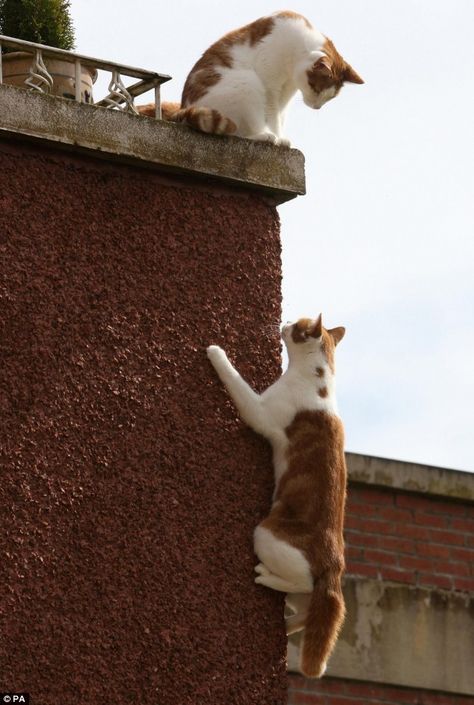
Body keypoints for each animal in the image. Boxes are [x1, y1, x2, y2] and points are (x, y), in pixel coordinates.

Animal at [140, 11, 362, 146]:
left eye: (329, 98)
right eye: (315, 87)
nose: (317, 107)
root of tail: (184, 110)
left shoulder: (284, 94)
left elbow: (280, 116)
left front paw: (281, 136)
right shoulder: (270, 86)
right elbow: (272, 115)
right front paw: (278, 137)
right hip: (246, 82)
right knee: (236, 133)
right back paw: (263, 135)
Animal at [207, 314, 348, 676]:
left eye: (299, 323)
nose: (285, 320)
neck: (318, 382)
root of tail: (335, 566)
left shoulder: (259, 410)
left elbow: (236, 381)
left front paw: (217, 352)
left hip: (266, 534)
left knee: (303, 585)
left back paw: (266, 577)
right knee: (308, 612)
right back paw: (285, 627)